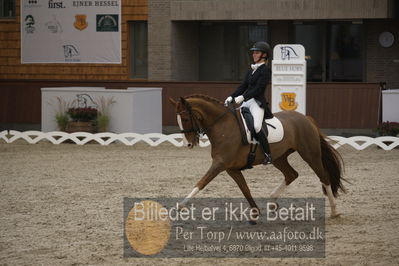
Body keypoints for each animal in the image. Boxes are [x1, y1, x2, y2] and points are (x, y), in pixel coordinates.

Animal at [170, 94, 346, 217]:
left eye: (185, 118)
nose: (189, 144)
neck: (222, 125)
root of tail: (306, 118)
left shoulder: (220, 164)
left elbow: (201, 182)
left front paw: (181, 205)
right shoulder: (231, 168)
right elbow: (245, 189)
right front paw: (255, 212)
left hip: (310, 154)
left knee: (324, 178)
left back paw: (334, 211)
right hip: (279, 157)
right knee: (291, 174)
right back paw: (272, 202)